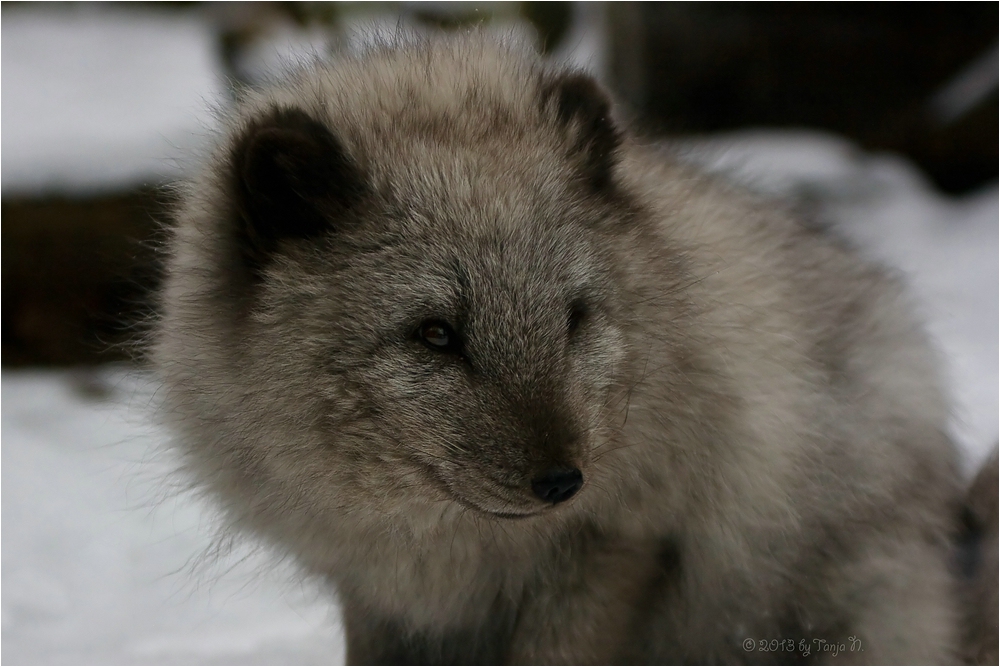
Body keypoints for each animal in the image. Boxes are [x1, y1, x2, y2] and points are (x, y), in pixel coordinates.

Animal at [154, 37, 976, 667]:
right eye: (435, 333)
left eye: (574, 316)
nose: (562, 483)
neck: (453, 549)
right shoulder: (378, 591)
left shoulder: (619, 542)